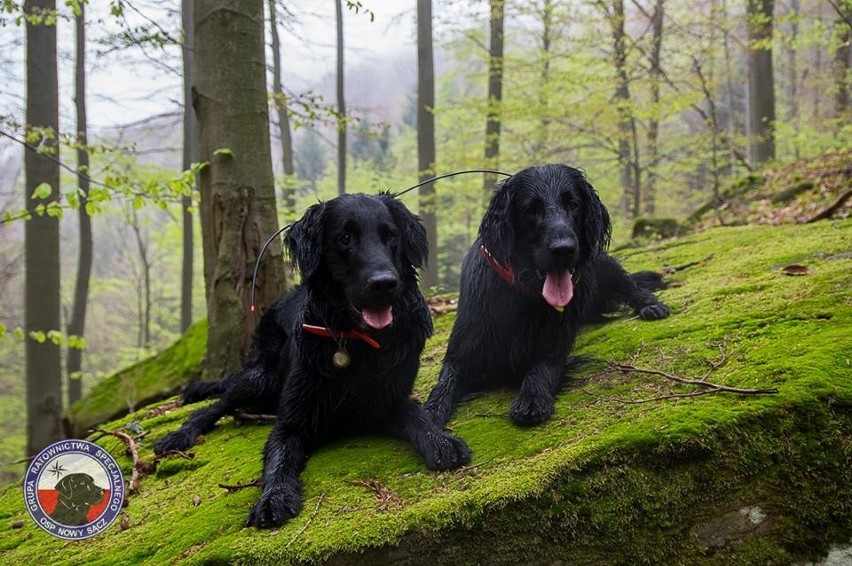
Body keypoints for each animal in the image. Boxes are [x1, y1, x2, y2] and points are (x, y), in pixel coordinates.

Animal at [154, 196, 472, 532]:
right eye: (344, 238)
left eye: (391, 237)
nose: (385, 284)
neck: (354, 341)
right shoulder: (291, 422)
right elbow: (278, 460)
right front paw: (274, 497)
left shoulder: (387, 399)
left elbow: (417, 416)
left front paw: (441, 441)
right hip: (260, 378)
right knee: (215, 405)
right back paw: (179, 435)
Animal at [422, 166, 668, 428]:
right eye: (531, 209)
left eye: (574, 205)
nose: (564, 250)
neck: (524, 293)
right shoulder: (461, 353)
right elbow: (444, 383)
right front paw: (430, 412)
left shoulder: (554, 348)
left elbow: (541, 369)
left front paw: (532, 398)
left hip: (602, 262)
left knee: (629, 283)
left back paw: (650, 305)